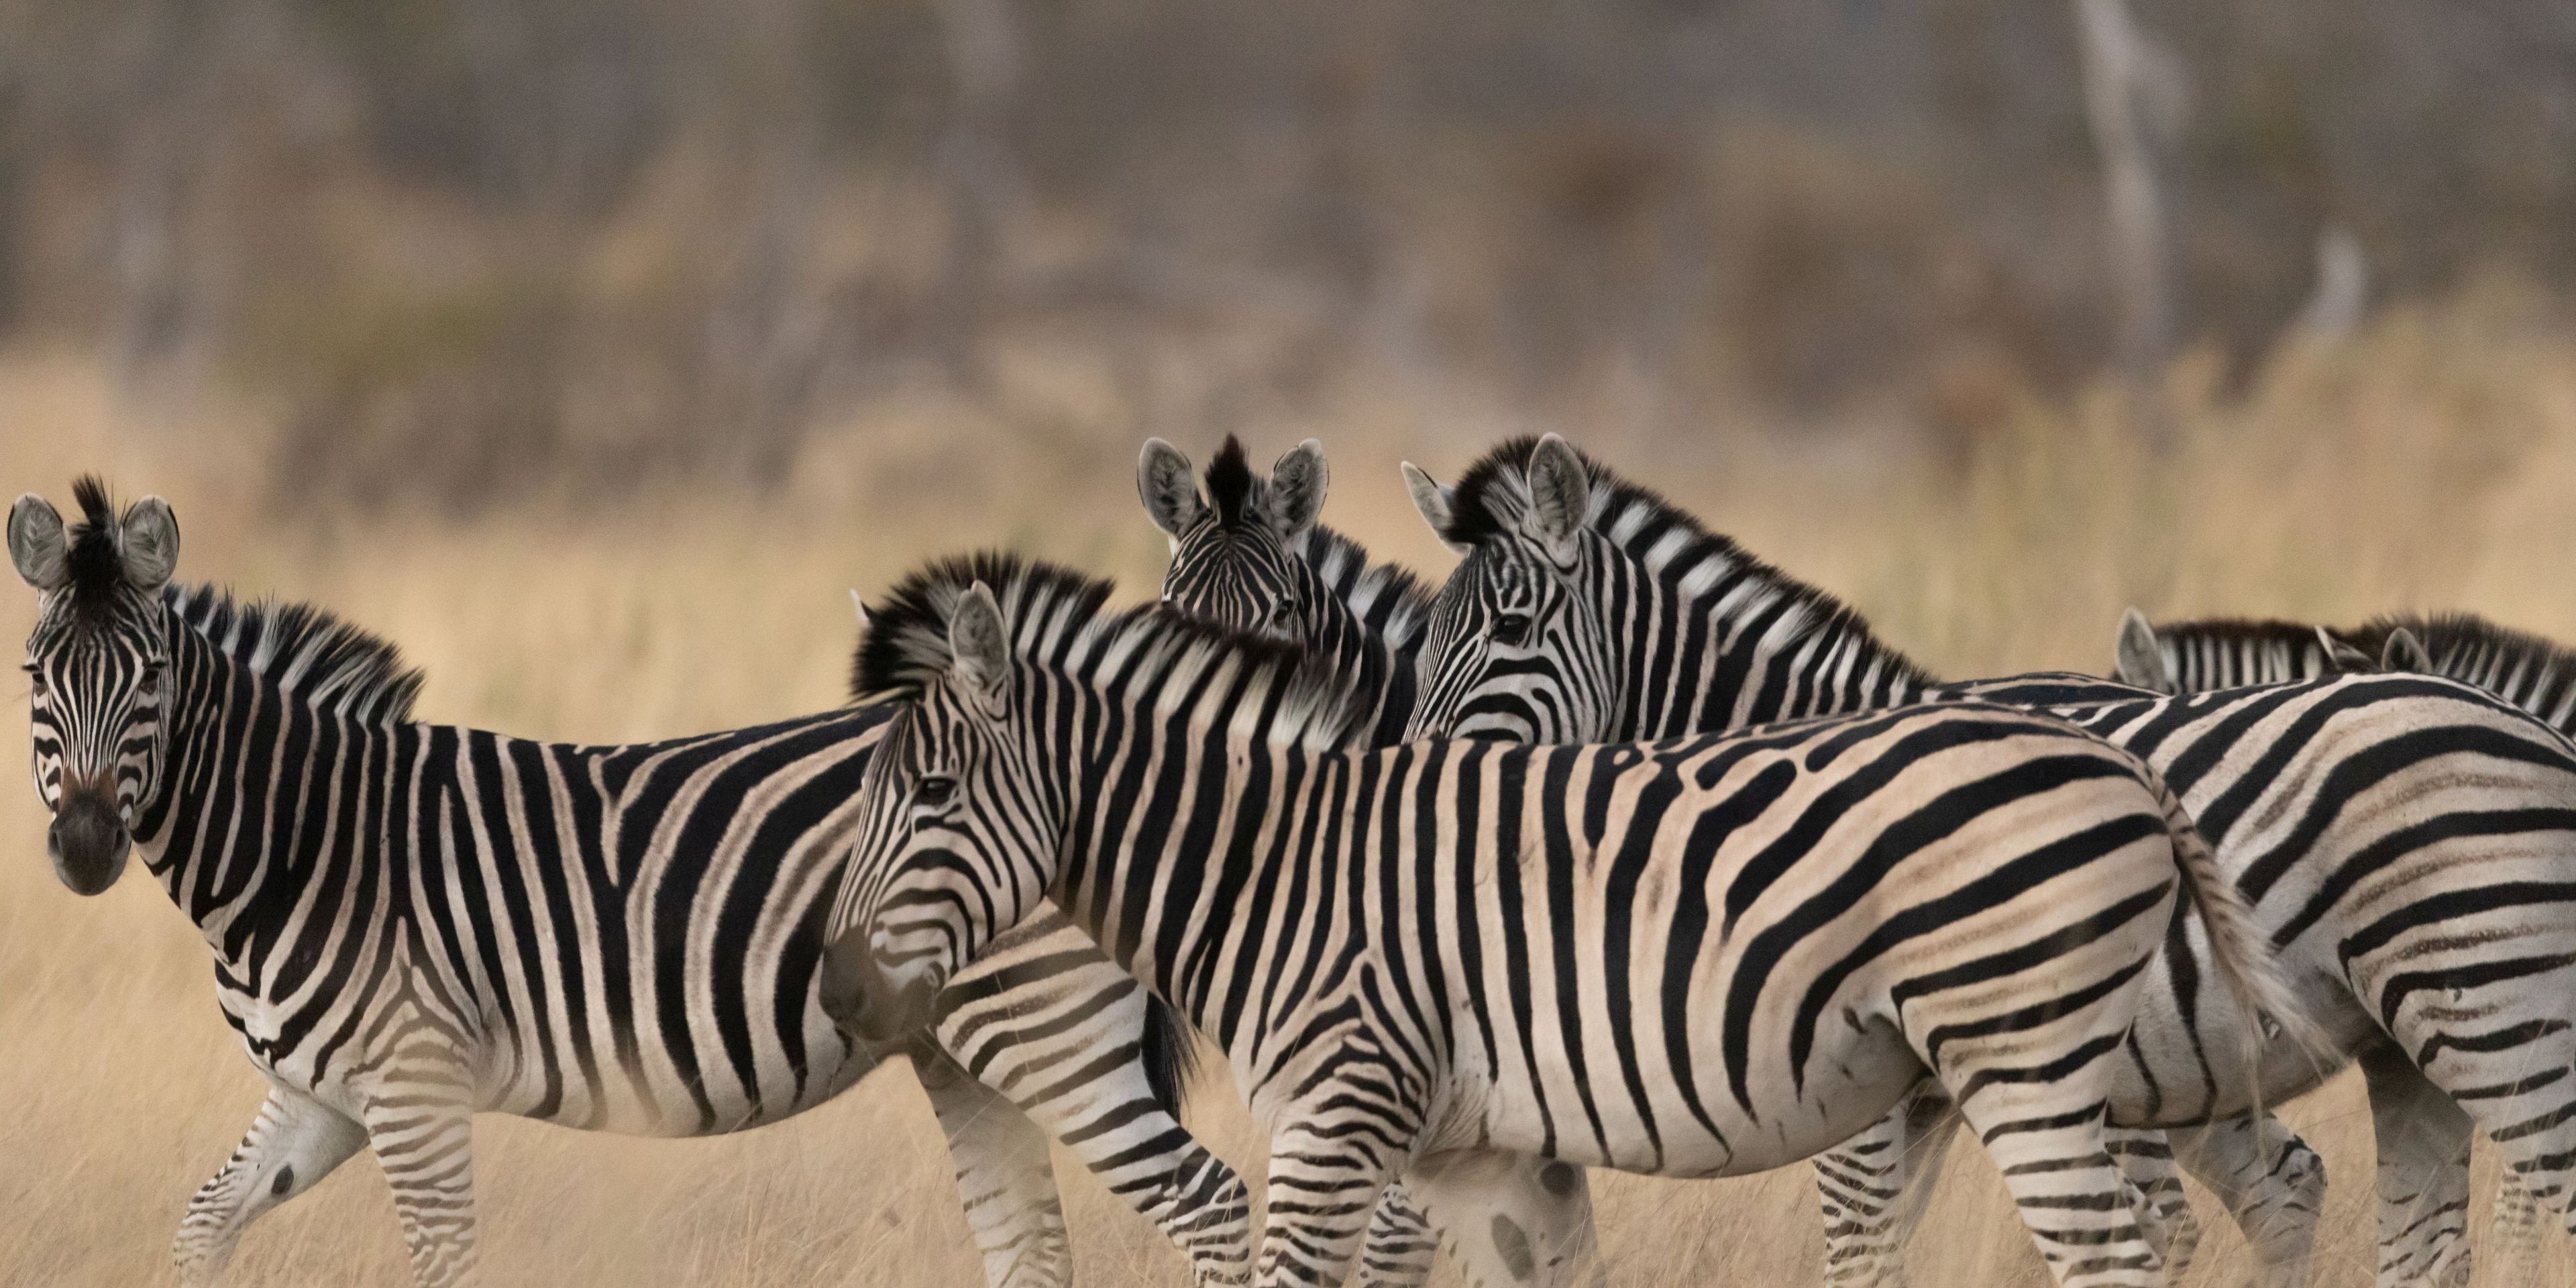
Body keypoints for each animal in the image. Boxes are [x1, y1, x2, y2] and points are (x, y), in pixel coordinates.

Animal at [7, 479, 1258, 1288]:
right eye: (34, 674)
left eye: (152, 677)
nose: (85, 848)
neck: (305, 845)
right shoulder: (323, 1097)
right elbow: (201, 1228)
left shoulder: (414, 1091)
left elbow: (444, 1266)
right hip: (965, 1054)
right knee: (1037, 1249)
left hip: (1049, 1032)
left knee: (1218, 1212)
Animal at [821, 550, 2316, 1288]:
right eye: (870, 791)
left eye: (933, 793)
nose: (834, 992)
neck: (1273, 869)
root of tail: (2126, 761)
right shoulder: (1485, 1156)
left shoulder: (1339, 1115)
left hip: (2026, 1057)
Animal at [1398, 432, 2576, 1288]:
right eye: (1429, 636)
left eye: (1511, 630)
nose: (1415, 774)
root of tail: (2540, 737)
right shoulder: (1919, 1097)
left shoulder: (1867, 1106)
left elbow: (1860, 1260)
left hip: (2490, 1007)